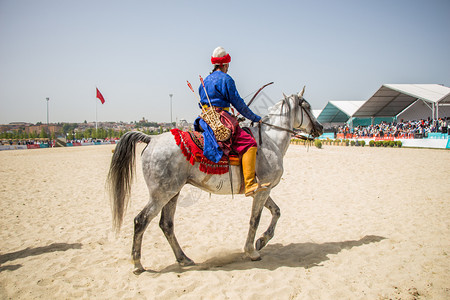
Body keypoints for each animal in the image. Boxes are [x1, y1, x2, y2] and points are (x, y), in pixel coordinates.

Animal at [107, 87, 322, 274]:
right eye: (308, 106)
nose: (320, 127)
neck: (270, 140)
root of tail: (152, 139)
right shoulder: (262, 191)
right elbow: (255, 220)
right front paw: (252, 250)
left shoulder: (262, 190)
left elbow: (276, 212)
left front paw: (262, 241)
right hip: (161, 195)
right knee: (141, 221)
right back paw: (137, 263)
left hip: (172, 193)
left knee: (166, 224)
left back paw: (183, 258)